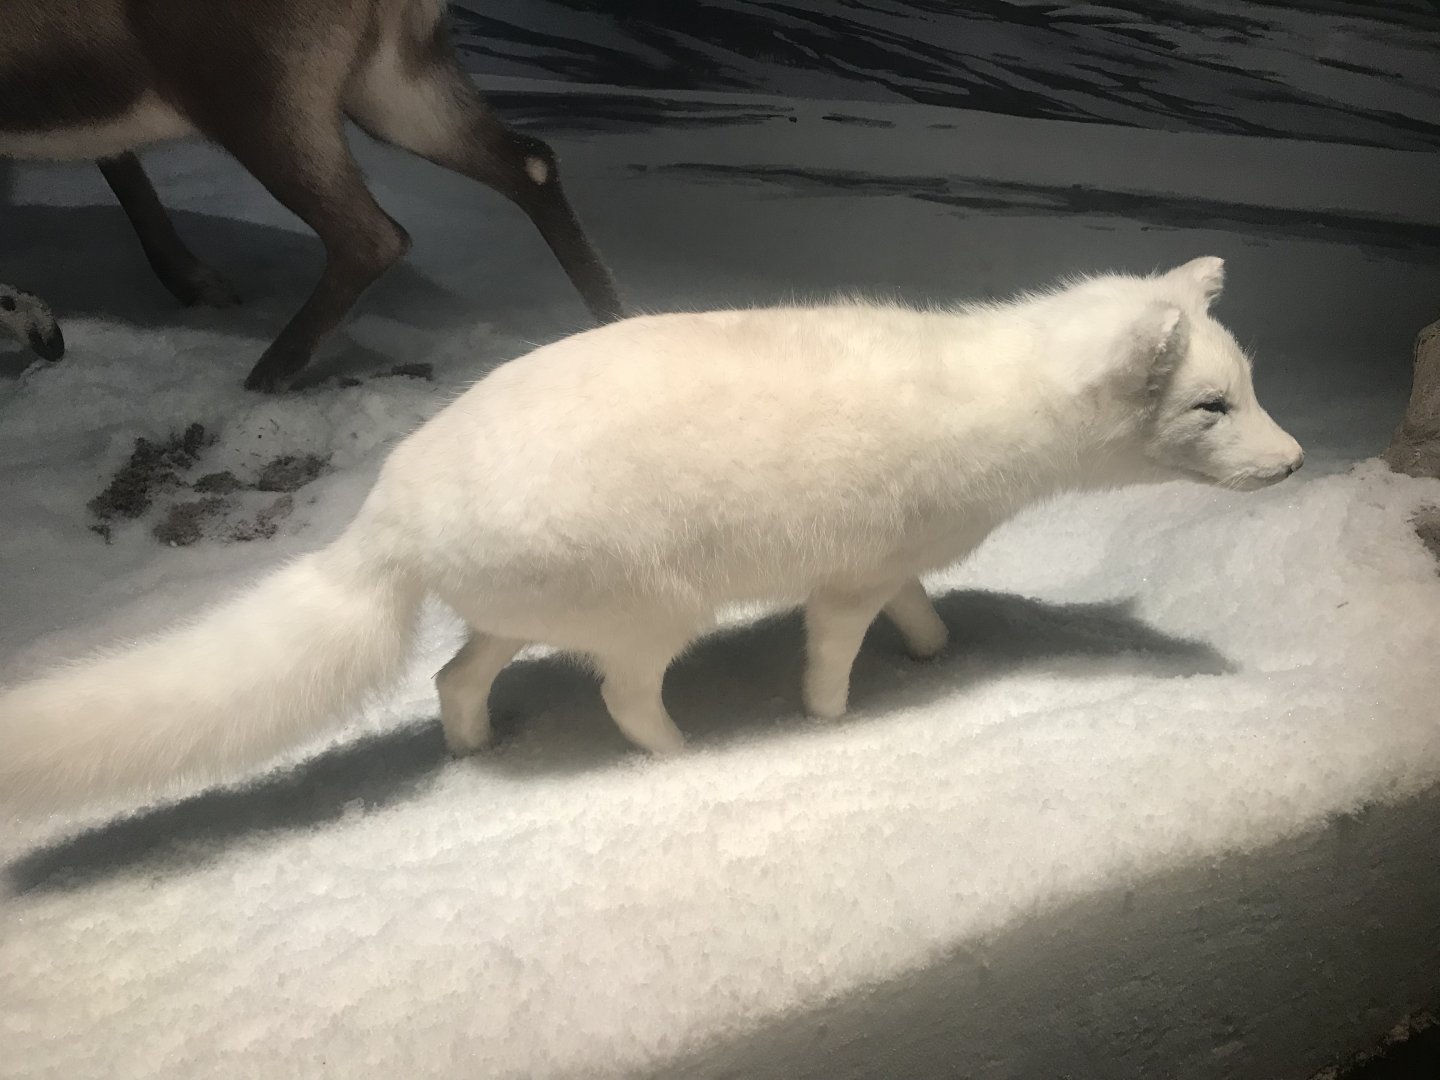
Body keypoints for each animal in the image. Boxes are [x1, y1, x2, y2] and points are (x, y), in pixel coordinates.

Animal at [0, 0, 623, 391]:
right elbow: (120, 165)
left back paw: (264, 379)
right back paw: (611, 323)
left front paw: (39, 325)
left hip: (262, 90)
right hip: (392, 77)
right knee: (530, 162)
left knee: (371, 232)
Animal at [0, 257, 1304, 812]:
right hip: (646, 617)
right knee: (624, 701)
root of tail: (391, 510)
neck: (989, 396)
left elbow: (917, 610)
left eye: (1249, 387)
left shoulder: (884, 563)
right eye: (1212, 408)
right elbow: (831, 663)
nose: (1296, 462)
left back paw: (476, 753)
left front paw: (939, 656)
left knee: (452, 676)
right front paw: (835, 730)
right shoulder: (841, 585)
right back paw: (681, 763)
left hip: (517, 617)